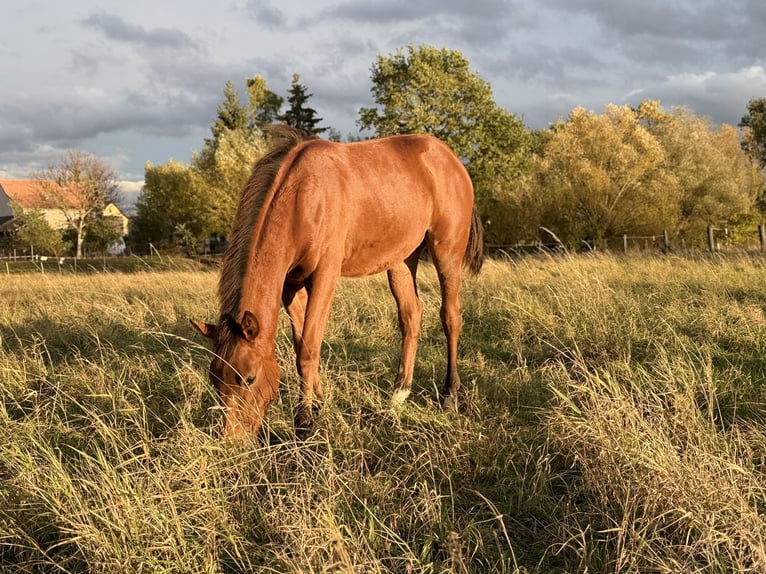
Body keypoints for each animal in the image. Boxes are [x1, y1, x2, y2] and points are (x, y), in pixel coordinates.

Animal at [191, 125, 483, 438]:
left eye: (249, 377)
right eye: (214, 378)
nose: (233, 440)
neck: (304, 198)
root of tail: (450, 159)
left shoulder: (324, 277)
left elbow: (308, 350)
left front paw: (304, 421)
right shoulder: (290, 286)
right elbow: (301, 346)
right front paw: (320, 403)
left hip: (446, 252)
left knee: (450, 317)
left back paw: (450, 395)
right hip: (402, 260)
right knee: (411, 317)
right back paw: (398, 395)